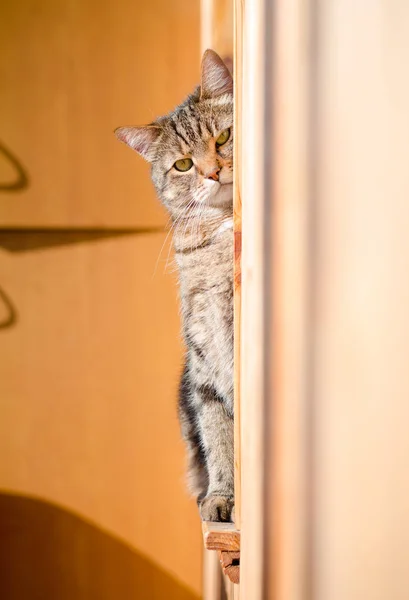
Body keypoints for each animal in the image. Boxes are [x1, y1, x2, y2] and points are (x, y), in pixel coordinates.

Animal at [116, 50, 234, 520]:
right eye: (183, 164)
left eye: (223, 138)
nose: (213, 172)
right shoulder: (204, 367)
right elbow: (219, 440)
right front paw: (222, 497)